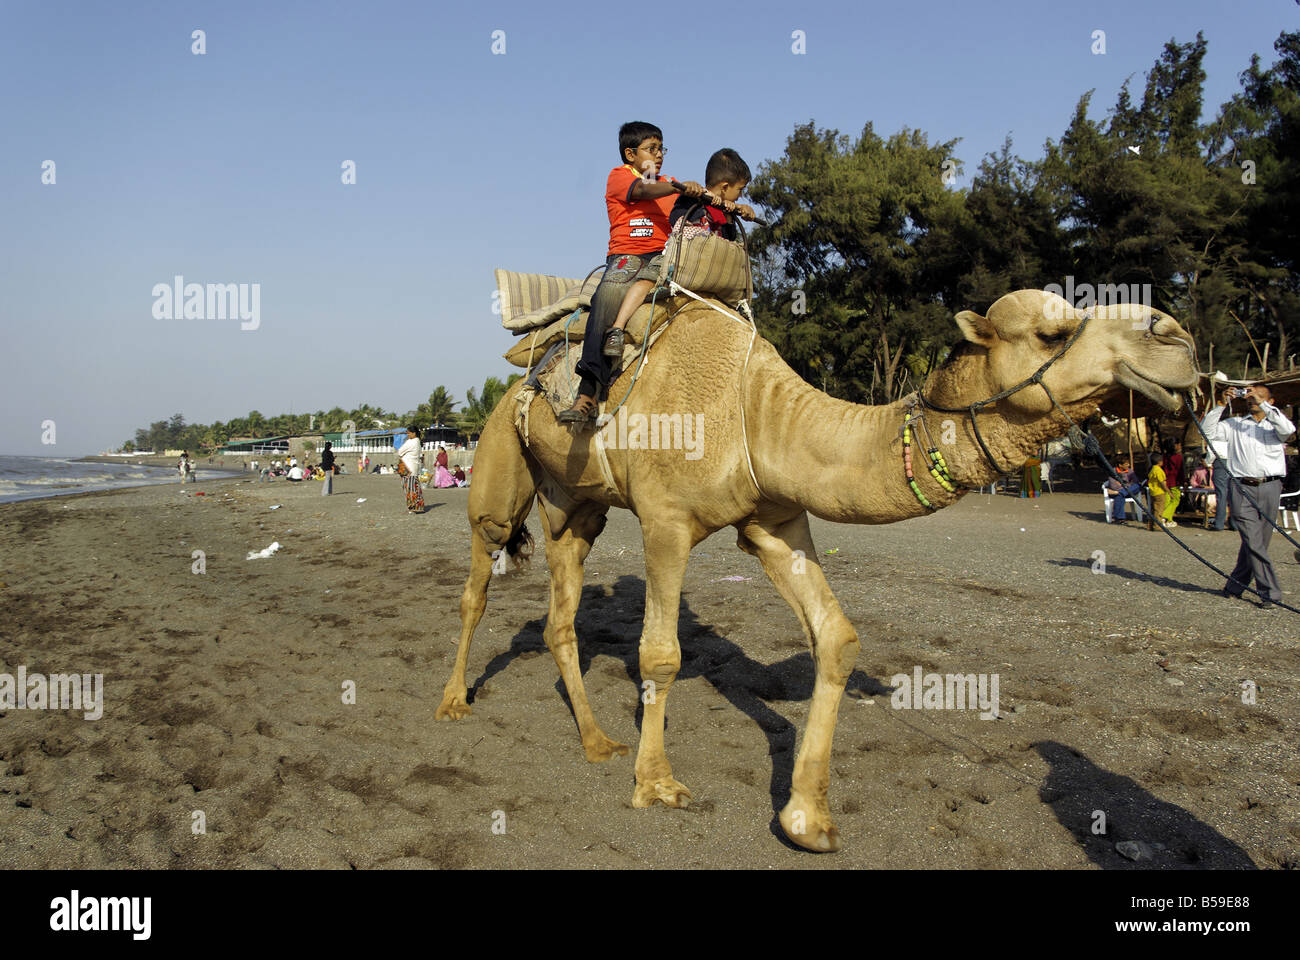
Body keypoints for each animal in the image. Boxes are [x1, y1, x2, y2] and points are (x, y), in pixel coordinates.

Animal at [436, 287, 1196, 848]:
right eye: (1050, 334)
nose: (1179, 339)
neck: (755, 413)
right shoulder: (665, 522)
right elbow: (660, 654)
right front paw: (657, 785)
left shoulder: (774, 522)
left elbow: (836, 638)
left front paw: (807, 819)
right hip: (499, 464)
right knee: (478, 579)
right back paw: (453, 703)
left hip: (576, 503)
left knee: (561, 612)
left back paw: (597, 743)